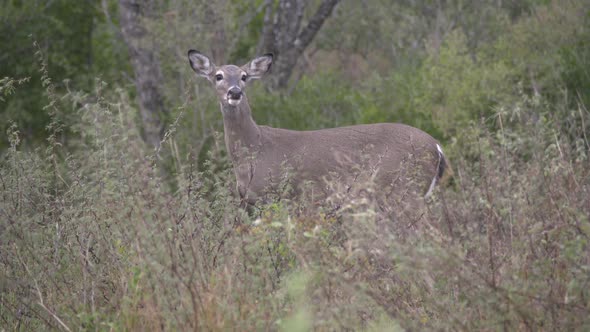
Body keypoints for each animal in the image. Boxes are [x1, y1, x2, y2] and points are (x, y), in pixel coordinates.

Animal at [190, 49, 454, 210]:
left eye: (244, 76)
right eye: (218, 76)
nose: (235, 92)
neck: (255, 147)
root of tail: (437, 147)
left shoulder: (280, 194)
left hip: (404, 189)